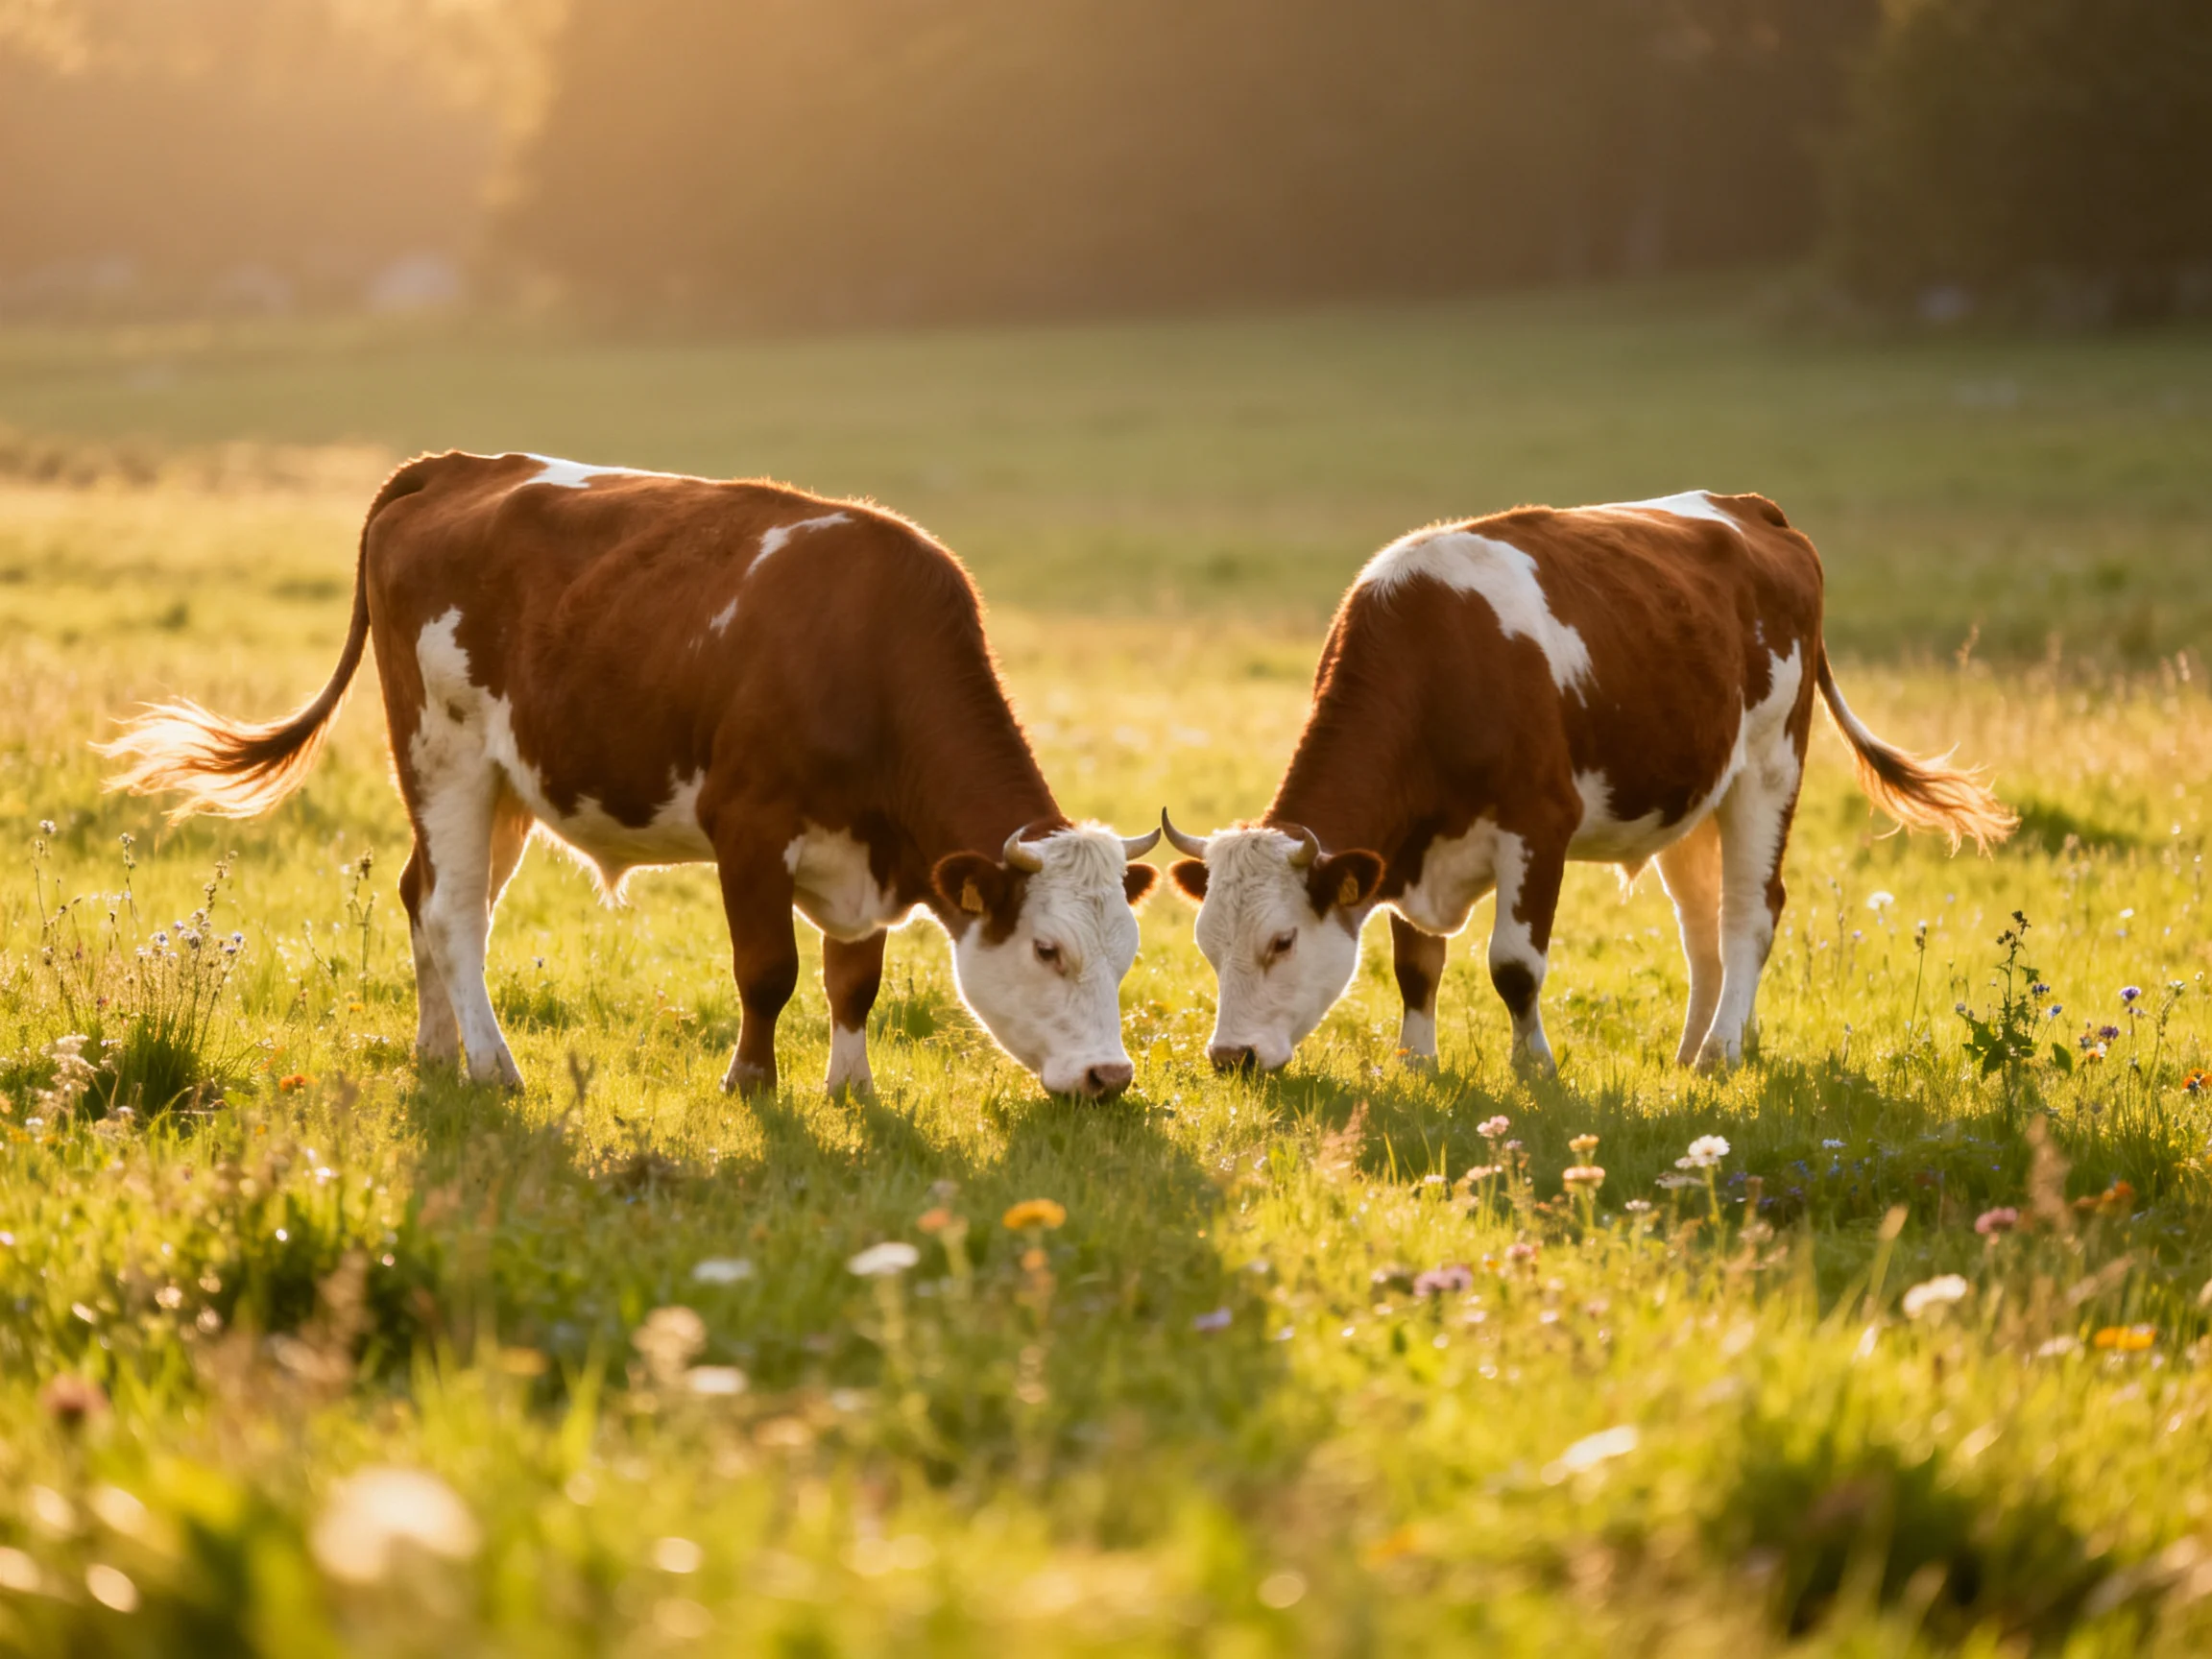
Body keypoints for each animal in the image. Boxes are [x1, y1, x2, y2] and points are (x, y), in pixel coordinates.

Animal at [103, 451, 1162, 1099]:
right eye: (1048, 951)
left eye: (1125, 954)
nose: (1110, 1079)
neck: (865, 650)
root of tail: (456, 466)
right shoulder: (749, 826)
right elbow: (769, 971)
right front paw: (752, 1084)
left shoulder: (862, 858)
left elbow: (852, 980)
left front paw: (851, 1087)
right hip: (443, 753)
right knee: (453, 911)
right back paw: (494, 1066)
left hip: (505, 782)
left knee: (426, 898)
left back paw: (438, 1051)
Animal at [1160, 491, 2015, 1076]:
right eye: (1207, 945)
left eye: (1282, 940)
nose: (1229, 1057)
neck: (1438, 661)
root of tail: (1749, 509)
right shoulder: (1407, 851)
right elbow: (1417, 965)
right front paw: (1418, 1065)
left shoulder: (1540, 822)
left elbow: (1514, 964)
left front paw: (1533, 1066)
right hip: (1689, 798)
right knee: (1702, 927)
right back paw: (1694, 1047)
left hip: (1771, 766)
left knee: (1751, 912)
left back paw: (1723, 1049)